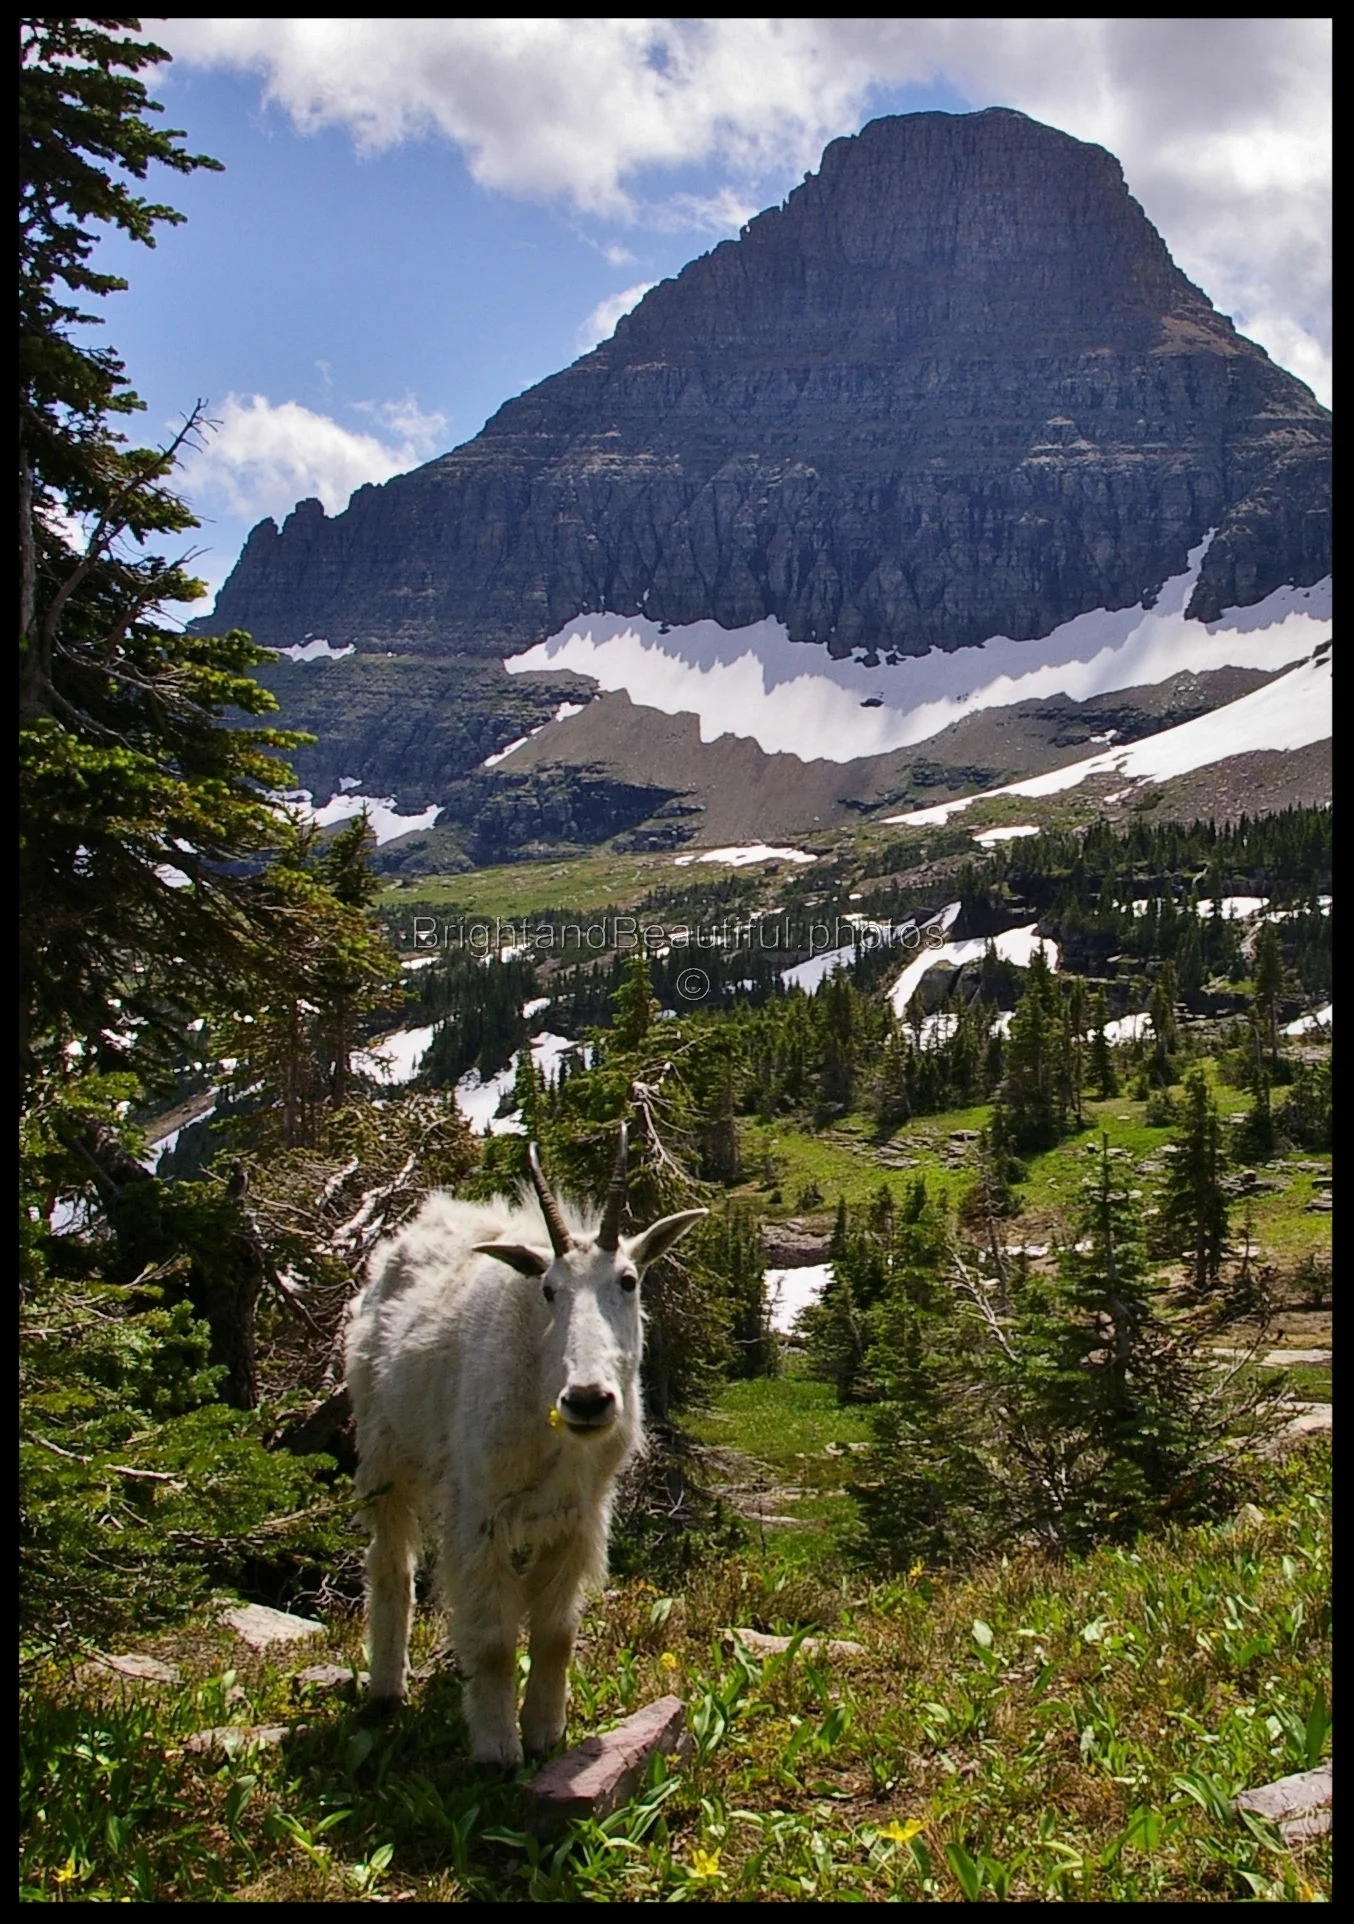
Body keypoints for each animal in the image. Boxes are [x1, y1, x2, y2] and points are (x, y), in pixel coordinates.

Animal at [344, 1125, 705, 1765]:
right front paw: (496, 1748)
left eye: (628, 1280)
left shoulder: (578, 1516)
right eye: (549, 1290)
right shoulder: (480, 1509)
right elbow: (492, 1638)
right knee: (390, 1565)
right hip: (384, 1451)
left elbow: (556, 1632)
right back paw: (386, 1690)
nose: (587, 1400)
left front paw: (544, 1734)